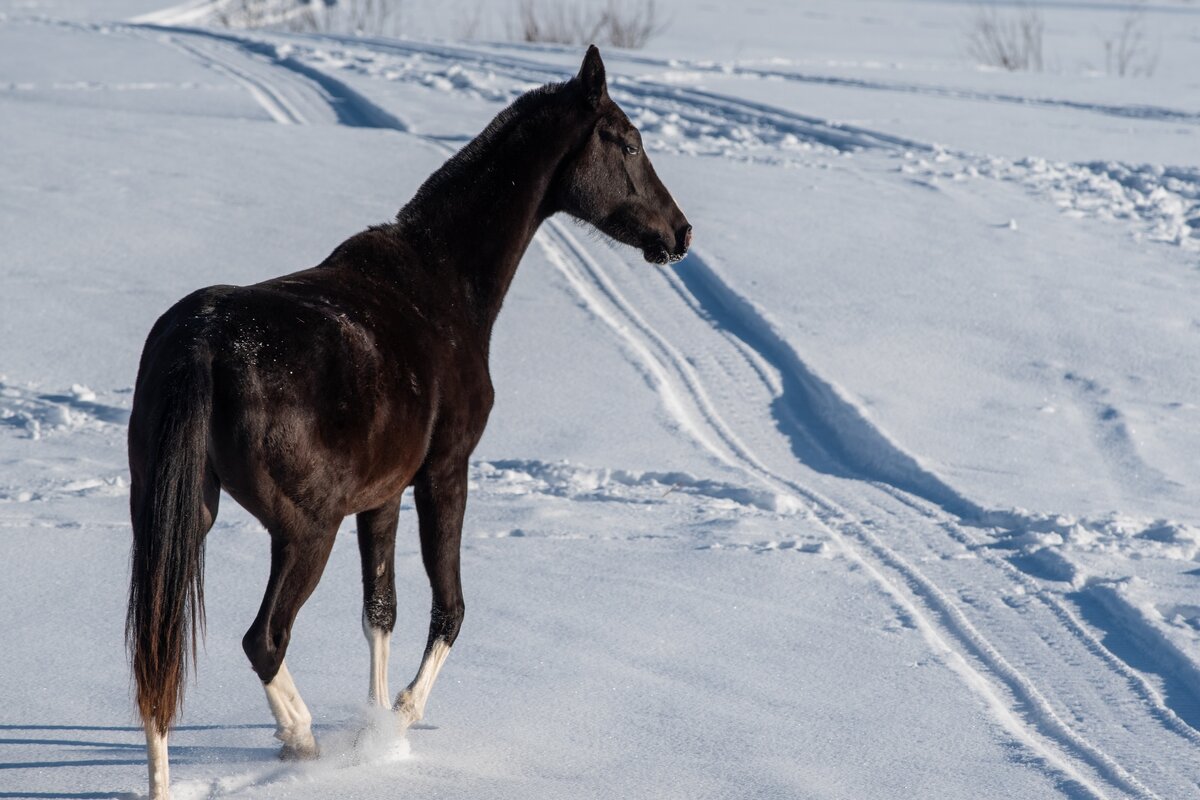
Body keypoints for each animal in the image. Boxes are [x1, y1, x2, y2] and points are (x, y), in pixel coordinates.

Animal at [125, 47, 691, 796]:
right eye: (628, 142)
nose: (680, 234)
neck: (440, 283)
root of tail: (202, 339)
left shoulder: (382, 496)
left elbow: (380, 612)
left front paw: (375, 727)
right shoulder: (444, 473)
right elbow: (449, 606)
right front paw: (395, 720)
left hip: (179, 516)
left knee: (156, 655)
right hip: (306, 532)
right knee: (263, 638)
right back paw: (302, 741)